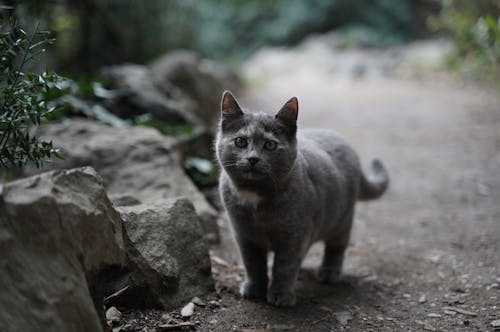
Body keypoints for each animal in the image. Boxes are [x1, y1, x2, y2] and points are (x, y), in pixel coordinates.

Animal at [215, 91, 390, 306]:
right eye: (240, 141)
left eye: (270, 145)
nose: (253, 159)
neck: (254, 197)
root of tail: (344, 141)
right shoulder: (244, 235)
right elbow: (253, 264)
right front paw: (255, 289)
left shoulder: (295, 236)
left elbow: (285, 267)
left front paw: (281, 295)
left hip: (342, 219)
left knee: (337, 246)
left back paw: (329, 272)